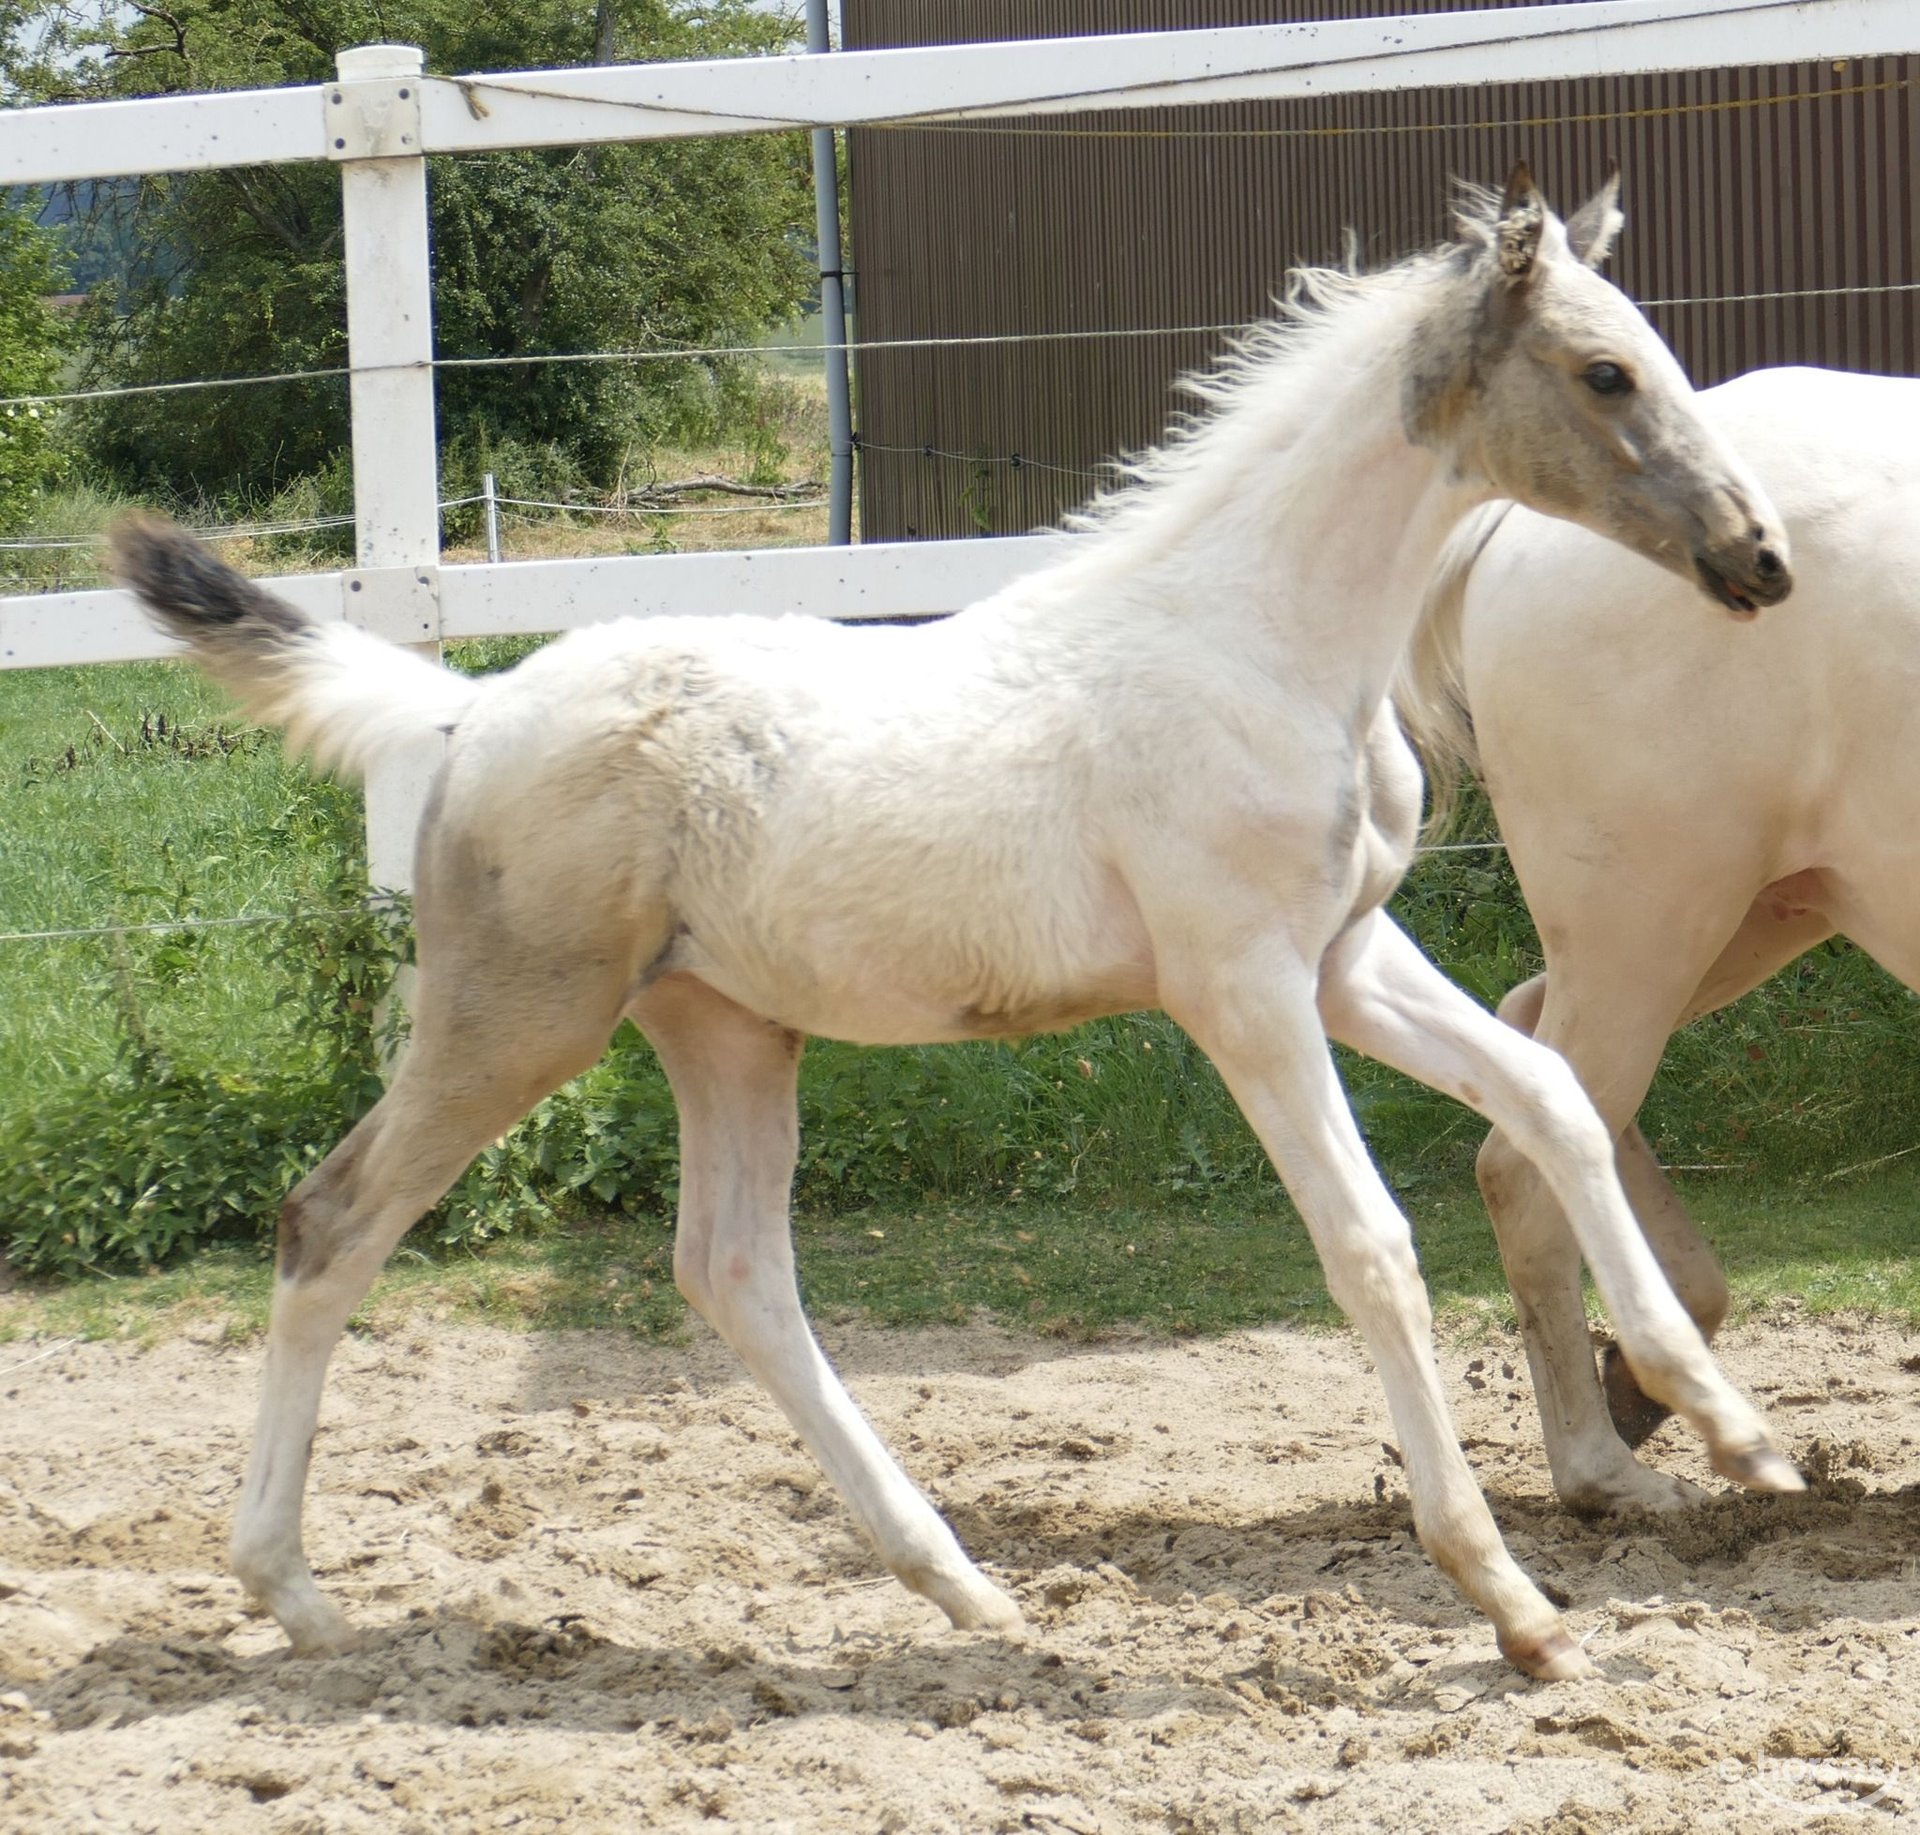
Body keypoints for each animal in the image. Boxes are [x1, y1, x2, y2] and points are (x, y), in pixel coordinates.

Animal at [116, 171, 1797, 1673]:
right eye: (1605, 370)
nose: (1762, 556)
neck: (1259, 639)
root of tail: (463, 715)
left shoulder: (1346, 956)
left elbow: (1555, 1098)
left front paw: (1732, 1424)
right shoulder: (1243, 986)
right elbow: (1373, 1244)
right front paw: (1514, 1602)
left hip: (724, 1027)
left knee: (734, 1269)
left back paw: (963, 1584)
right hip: (518, 1018)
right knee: (331, 1220)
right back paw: (294, 1592)